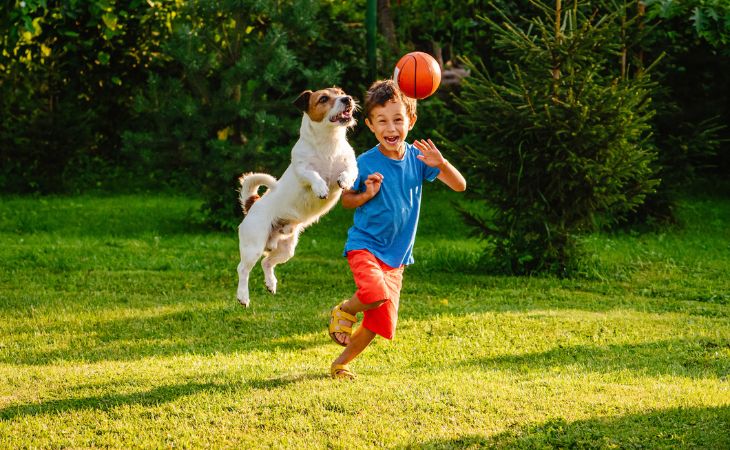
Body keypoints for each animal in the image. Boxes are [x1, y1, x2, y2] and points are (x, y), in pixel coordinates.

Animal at [235, 86, 356, 308]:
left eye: (341, 92)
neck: (329, 143)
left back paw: (271, 284)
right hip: (253, 245)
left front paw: (344, 181)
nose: (348, 99)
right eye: (324, 99)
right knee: (243, 269)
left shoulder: (351, 165)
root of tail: (253, 204)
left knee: (267, 262)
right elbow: (313, 175)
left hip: (286, 249)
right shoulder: (302, 170)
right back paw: (243, 296)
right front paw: (320, 187)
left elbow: (349, 172)